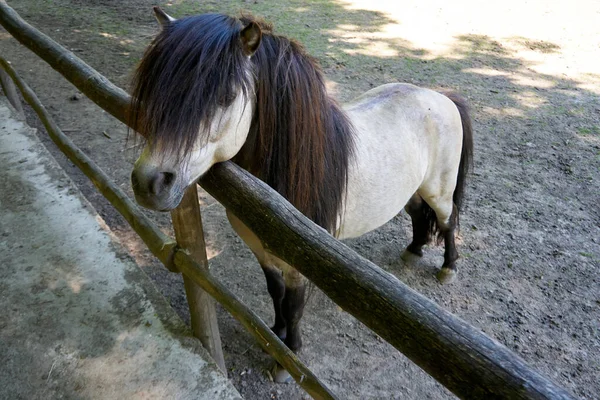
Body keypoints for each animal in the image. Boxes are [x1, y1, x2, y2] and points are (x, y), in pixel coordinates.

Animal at [130, 7, 474, 382]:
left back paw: (449, 268)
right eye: (158, 87)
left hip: (440, 192)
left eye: (226, 96)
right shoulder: (261, 251)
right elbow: (274, 291)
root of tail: (442, 97)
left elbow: (294, 305)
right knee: (417, 215)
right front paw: (275, 334)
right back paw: (414, 250)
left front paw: (287, 357)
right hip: (411, 191)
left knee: (447, 220)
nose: (148, 183)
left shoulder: (299, 264)